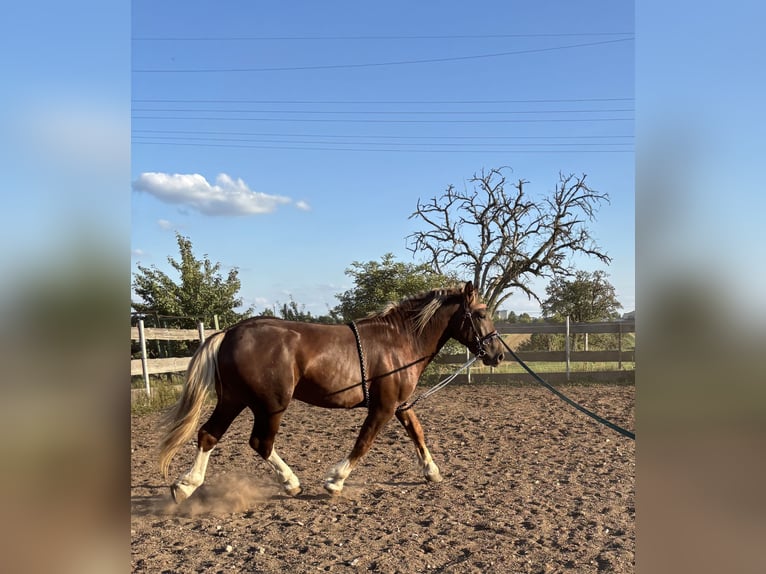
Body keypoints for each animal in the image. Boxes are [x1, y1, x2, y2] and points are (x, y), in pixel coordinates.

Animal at [158, 281, 505, 501]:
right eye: (481, 313)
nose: (497, 354)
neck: (399, 340)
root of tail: (231, 332)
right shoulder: (383, 407)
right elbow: (363, 443)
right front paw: (334, 481)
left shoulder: (401, 404)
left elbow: (417, 433)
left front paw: (432, 472)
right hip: (270, 405)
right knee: (260, 442)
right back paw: (291, 483)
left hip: (233, 399)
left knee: (209, 435)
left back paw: (186, 486)